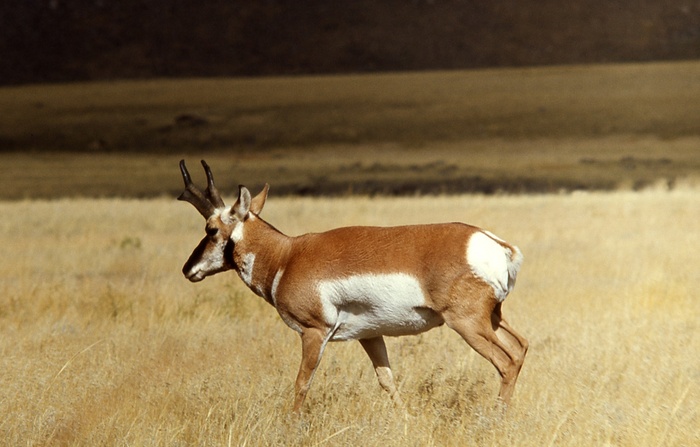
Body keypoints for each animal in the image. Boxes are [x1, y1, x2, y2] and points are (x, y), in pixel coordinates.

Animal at [177, 160, 528, 413]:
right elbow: (387, 381)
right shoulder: (370, 335)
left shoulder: (314, 333)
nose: (187, 269)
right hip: (493, 318)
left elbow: (301, 383)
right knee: (521, 347)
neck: (287, 255)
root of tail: (495, 244)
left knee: (507, 361)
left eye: (210, 229)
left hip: (467, 324)